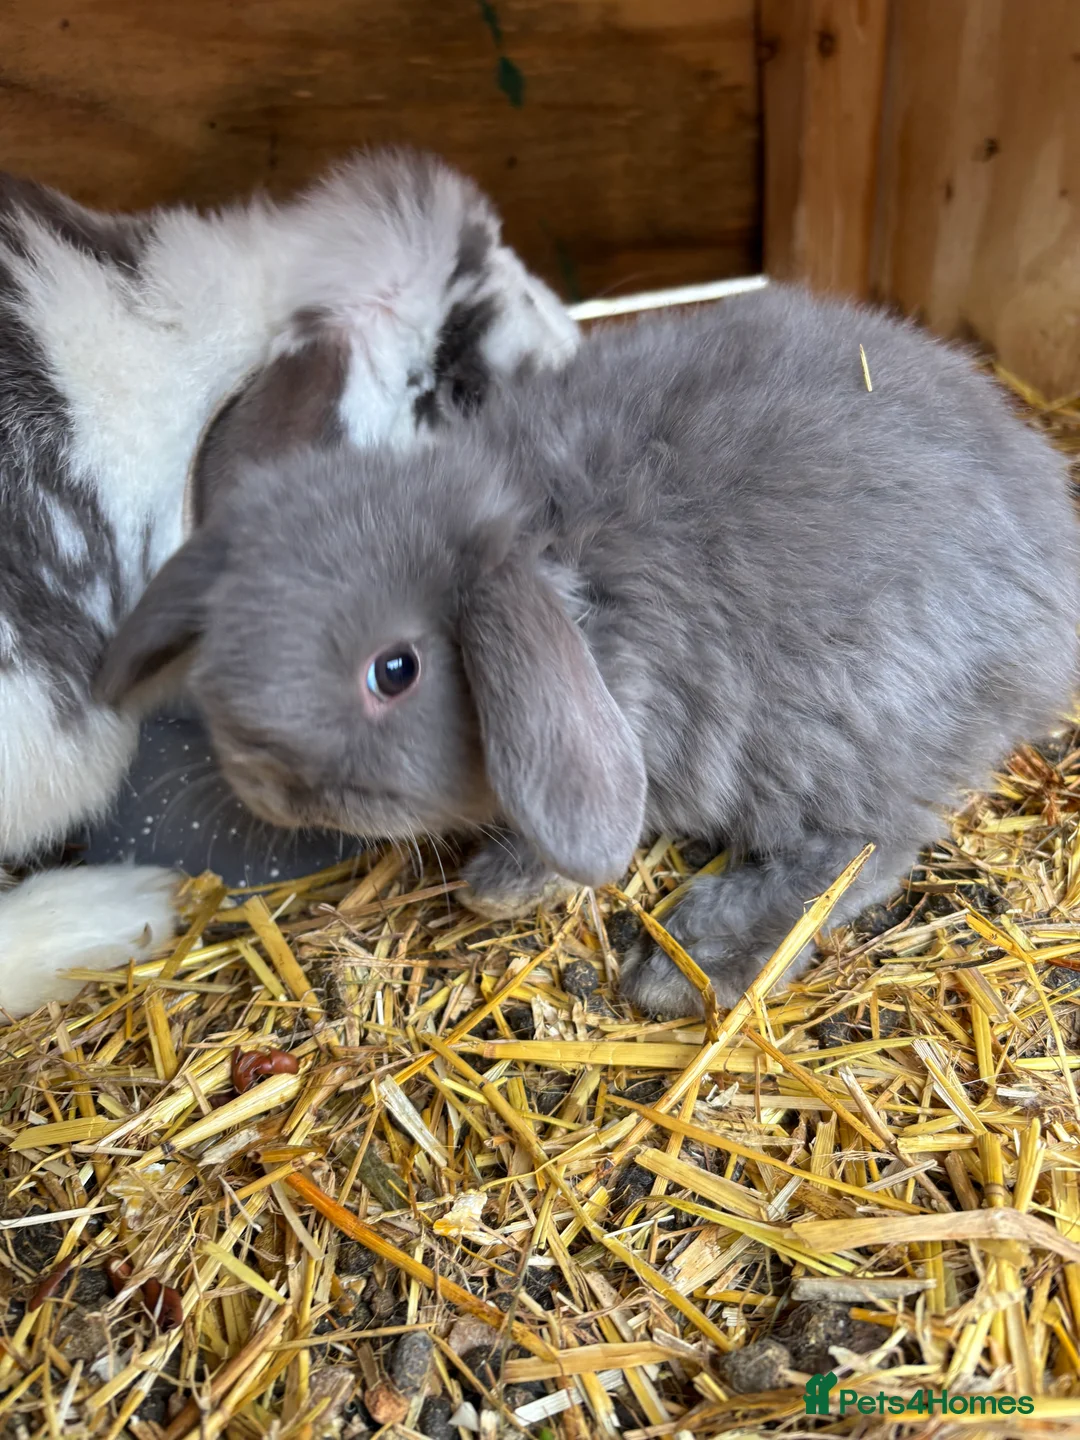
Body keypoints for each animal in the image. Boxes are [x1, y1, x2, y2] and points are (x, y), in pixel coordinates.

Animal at [96, 284, 1080, 1019]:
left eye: (395, 671)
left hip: (838, 736)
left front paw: (492, 890)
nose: (262, 780)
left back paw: (686, 962)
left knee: (866, 850)